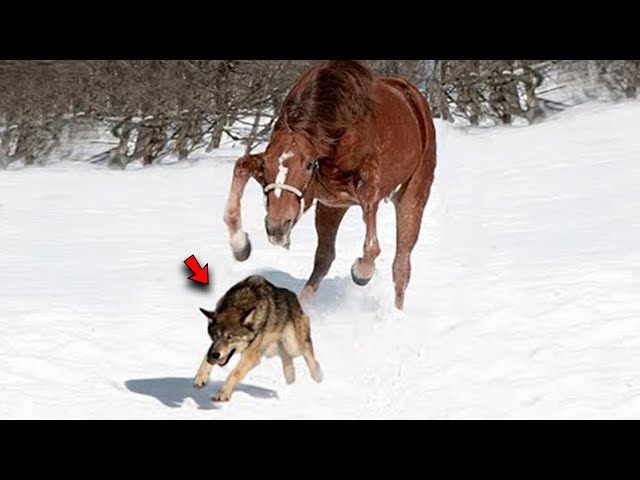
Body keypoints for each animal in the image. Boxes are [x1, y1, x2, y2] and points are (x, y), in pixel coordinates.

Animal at [192, 274, 322, 402]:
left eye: (230, 337)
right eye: (215, 336)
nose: (216, 355)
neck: (239, 304)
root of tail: (295, 298)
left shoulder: (251, 356)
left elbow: (234, 374)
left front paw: (222, 394)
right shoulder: (215, 346)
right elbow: (206, 358)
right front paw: (200, 377)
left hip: (293, 346)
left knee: (309, 355)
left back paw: (318, 377)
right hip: (276, 348)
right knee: (287, 360)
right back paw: (290, 382)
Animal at [222, 60, 438, 312]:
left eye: (308, 164)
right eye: (267, 163)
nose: (277, 226)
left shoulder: (367, 182)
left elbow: (372, 246)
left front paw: (361, 273)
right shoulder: (317, 193)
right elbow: (241, 166)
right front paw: (240, 245)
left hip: (412, 197)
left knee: (401, 264)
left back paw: (396, 313)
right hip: (332, 207)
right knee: (324, 258)